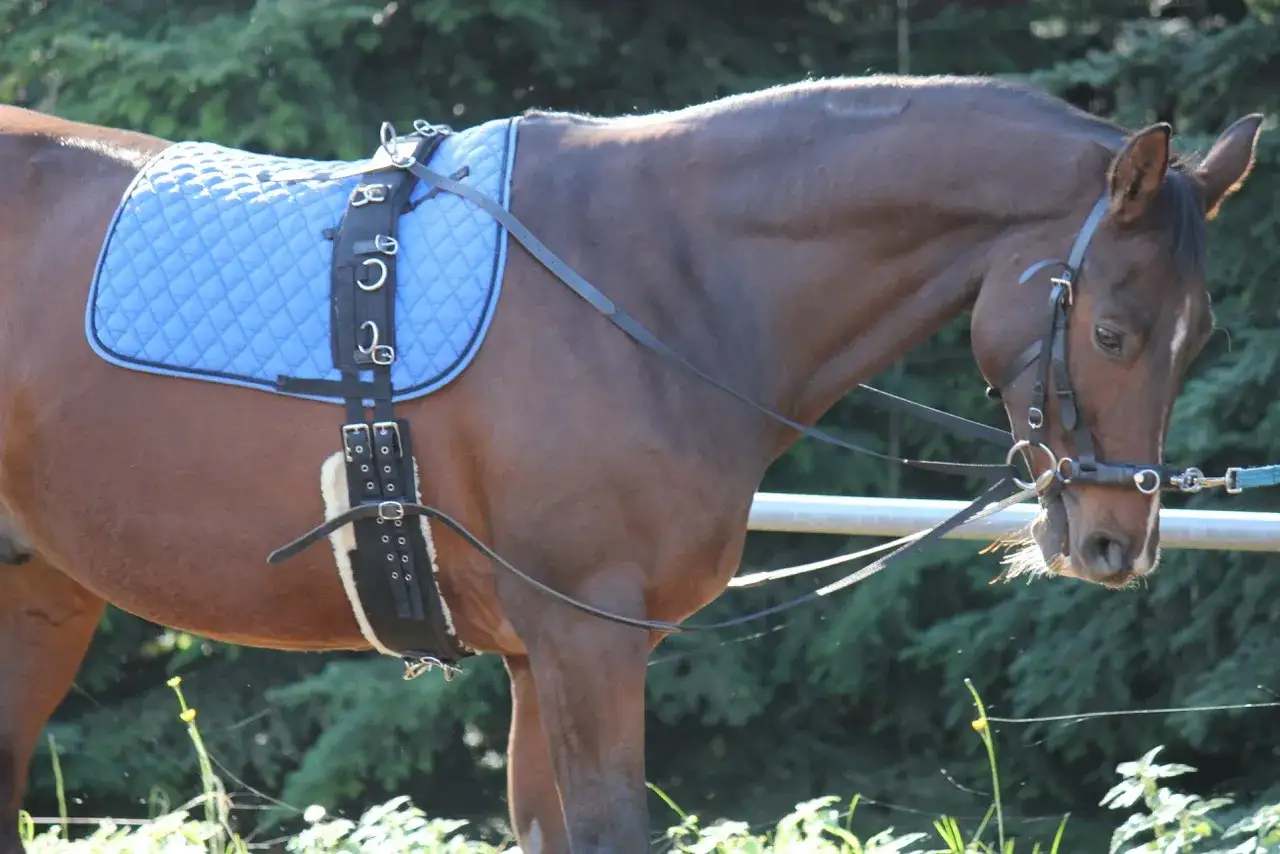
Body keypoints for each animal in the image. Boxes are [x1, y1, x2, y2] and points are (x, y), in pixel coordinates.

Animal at [0, 74, 1262, 853]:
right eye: (1112, 331)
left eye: (1196, 334)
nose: (1112, 540)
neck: (652, 279)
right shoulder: (586, 640)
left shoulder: (535, 658)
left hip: (39, 599)